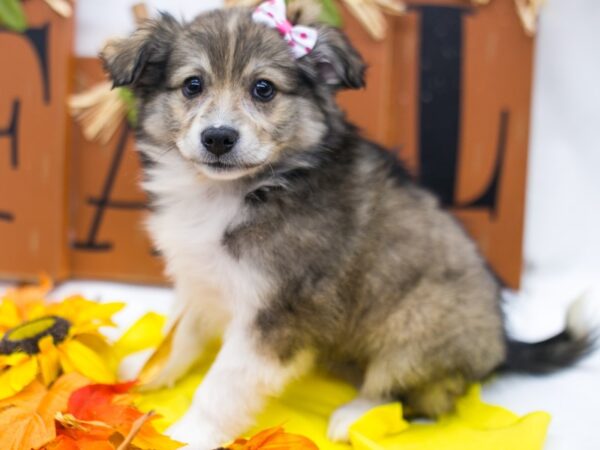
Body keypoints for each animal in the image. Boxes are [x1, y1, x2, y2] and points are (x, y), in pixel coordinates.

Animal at [102, 1, 592, 448]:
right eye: (193, 85)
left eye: (263, 89)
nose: (218, 138)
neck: (236, 191)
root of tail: (504, 343)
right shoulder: (201, 278)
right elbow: (179, 334)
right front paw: (147, 369)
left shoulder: (276, 315)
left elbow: (221, 385)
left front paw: (189, 435)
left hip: (415, 324)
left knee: (421, 395)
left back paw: (355, 417)